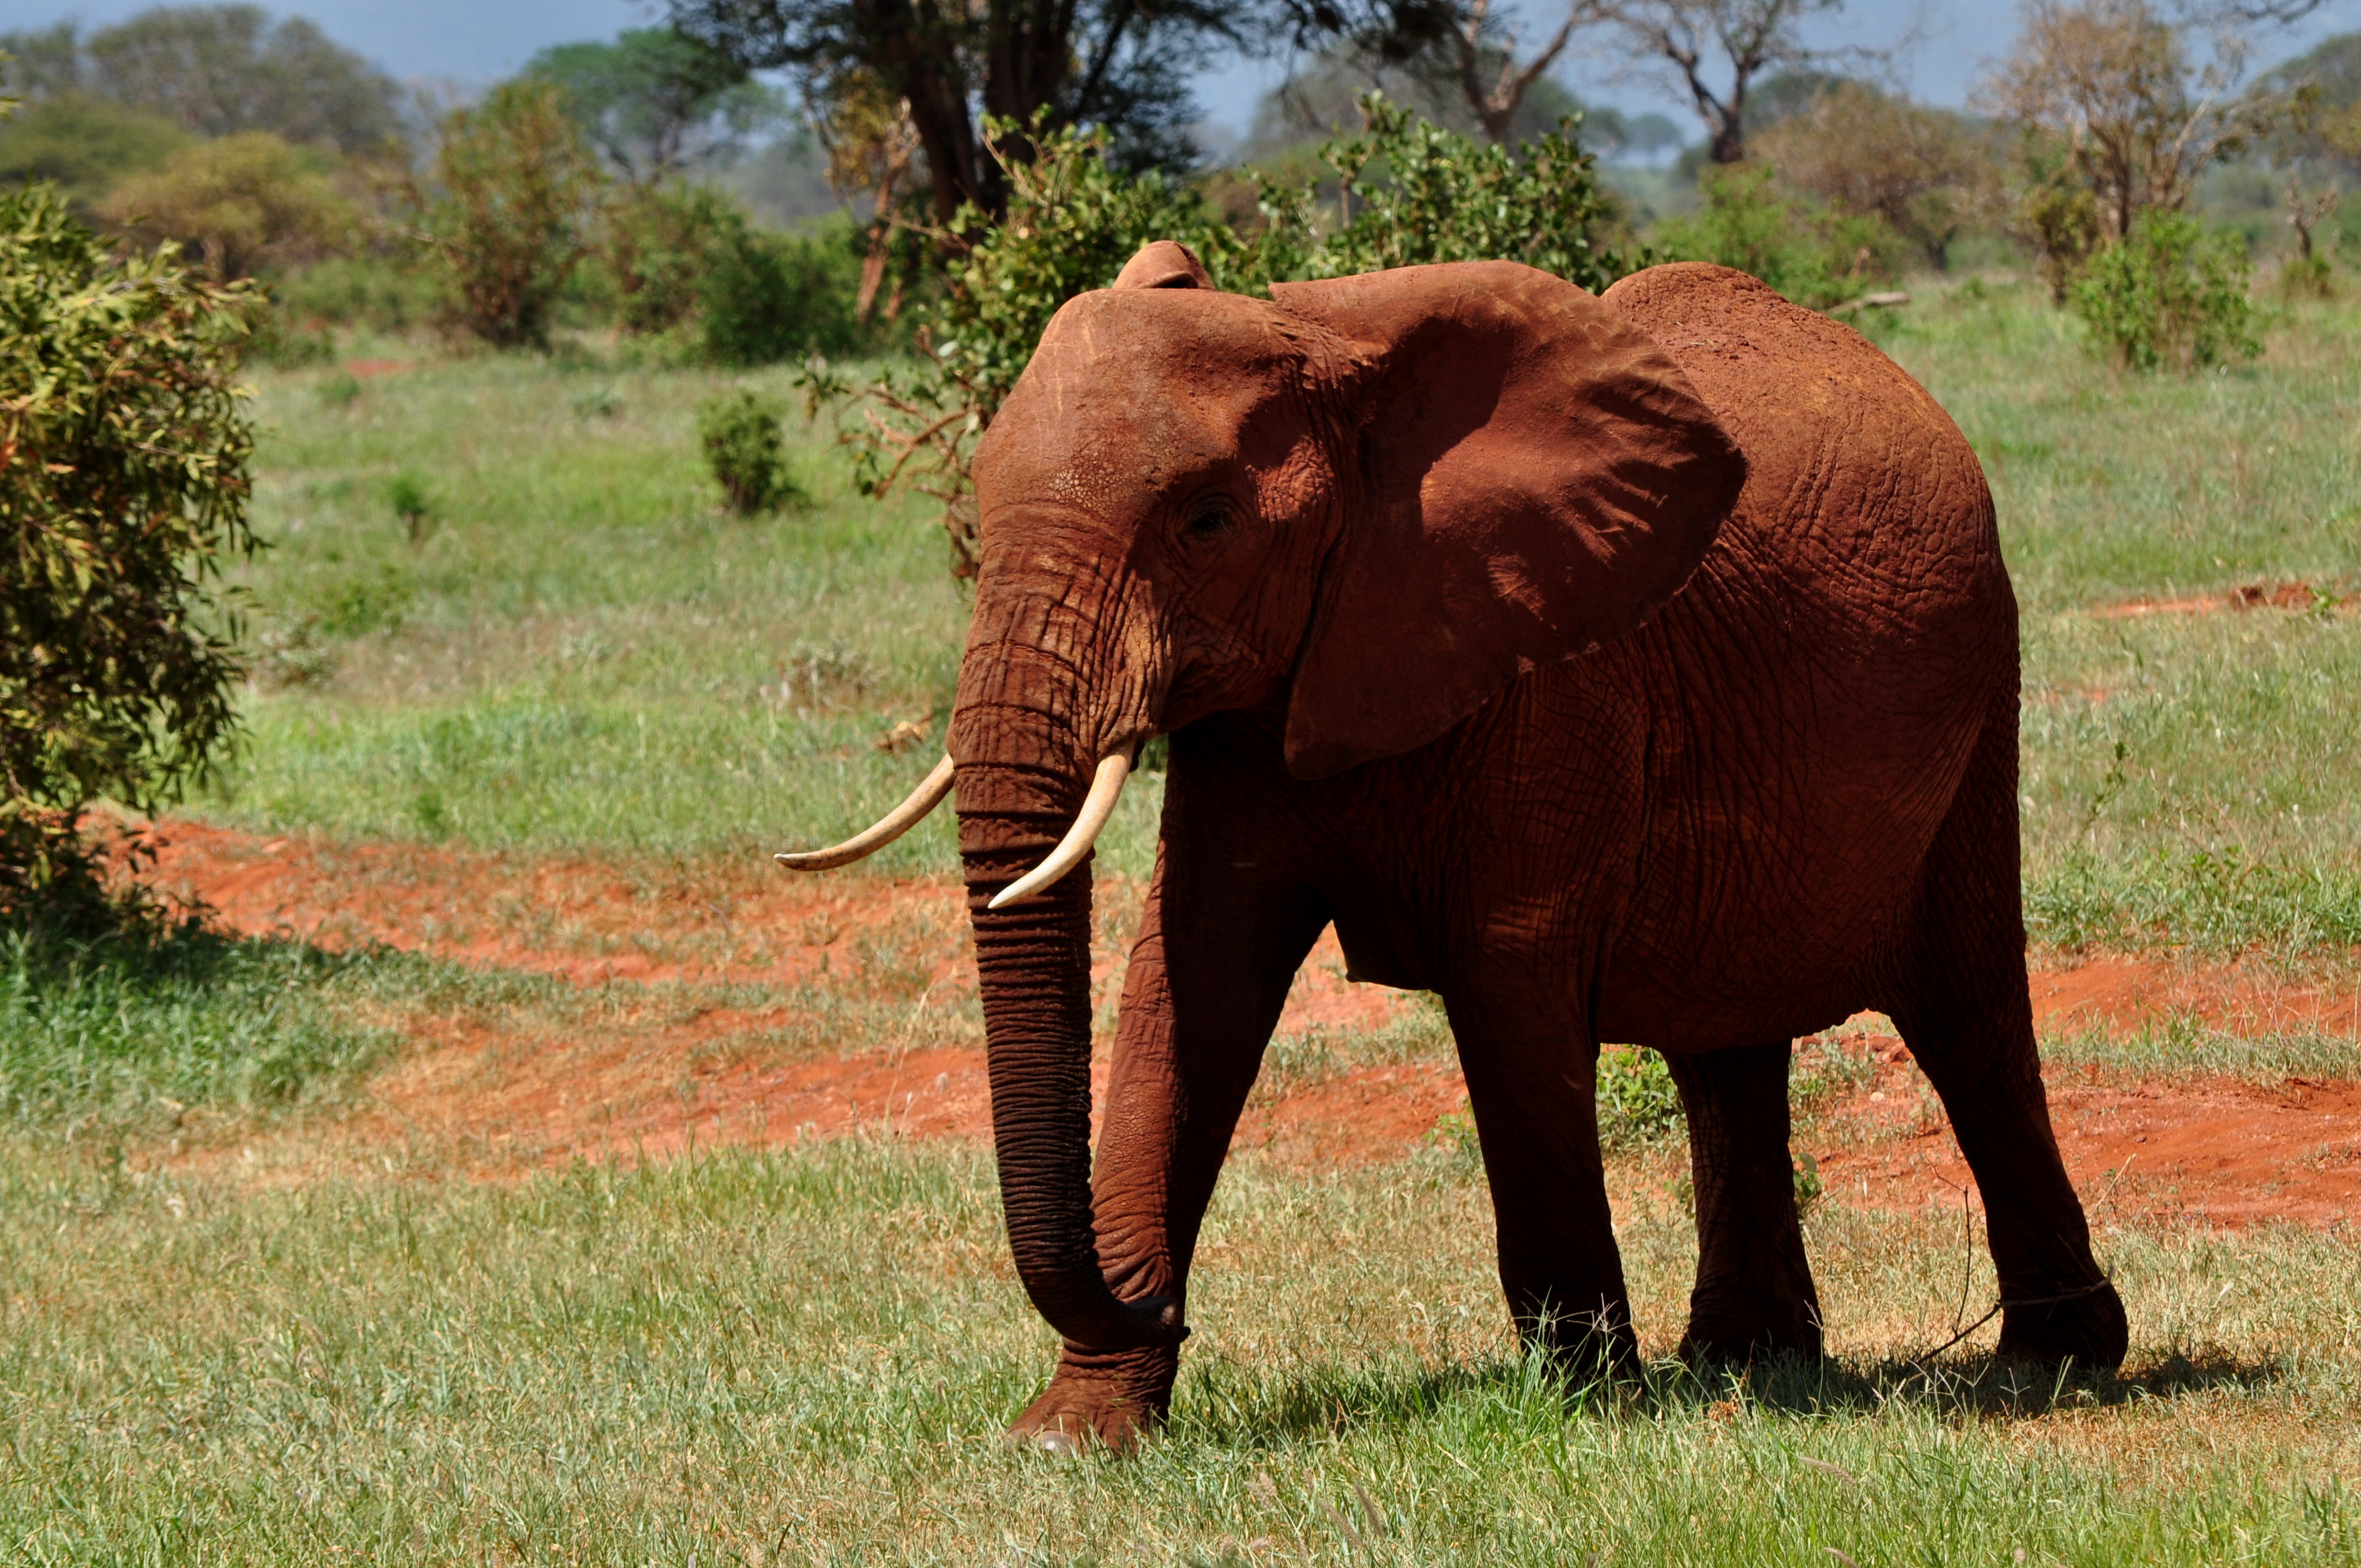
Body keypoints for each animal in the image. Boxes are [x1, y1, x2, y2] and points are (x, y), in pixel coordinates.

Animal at [780, 243, 2129, 1452]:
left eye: (1205, 522)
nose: (1150, 1295)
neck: (1329, 353)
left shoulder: (1558, 670)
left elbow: (1506, 979)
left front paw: (1586, 1404)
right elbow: (1189, 977)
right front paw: (1073, 1434)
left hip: (1980, 686)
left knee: (1965, 1015)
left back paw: (2050, 1362)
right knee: (1725, 1041)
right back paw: (1746, 1360)